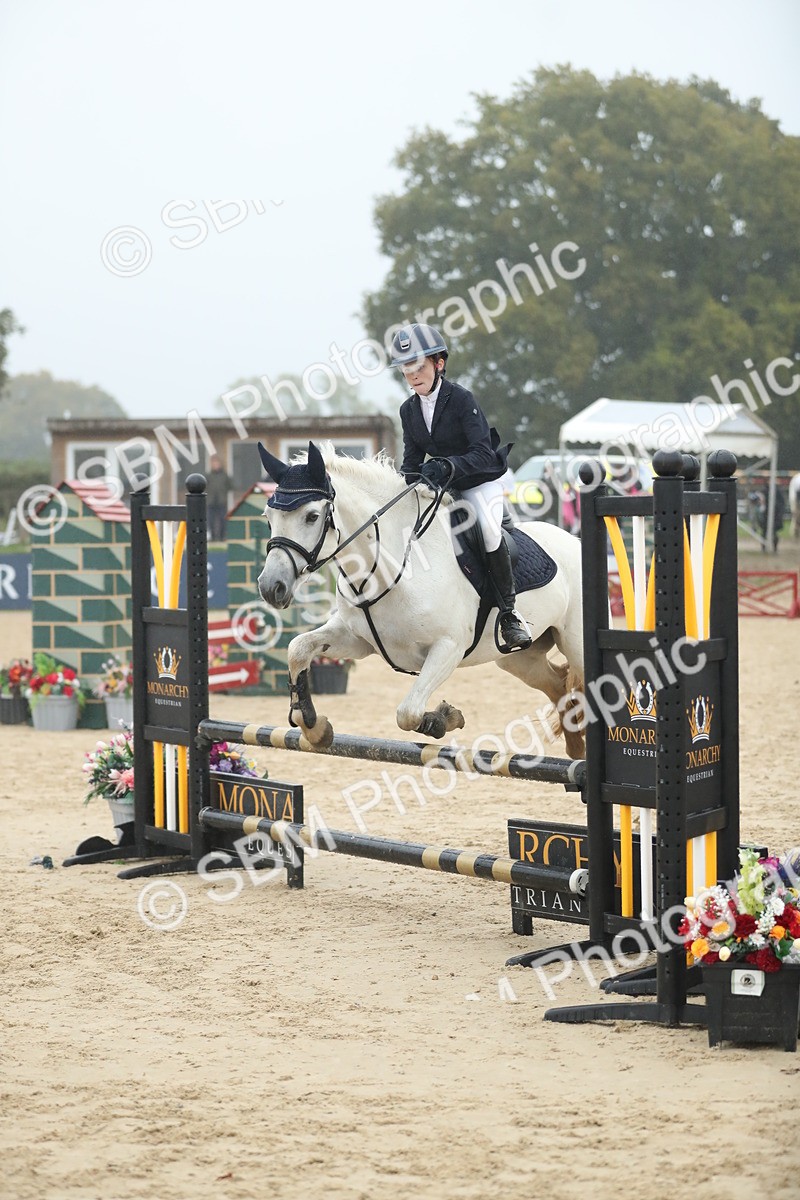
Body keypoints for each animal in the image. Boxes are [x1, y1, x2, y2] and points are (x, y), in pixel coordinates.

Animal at [256, 441, 585, 758]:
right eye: (268, 518)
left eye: (312, 516)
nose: (271, 587)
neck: (389, 566)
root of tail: (574, 540)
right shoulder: (356, 639)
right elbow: (298, 648)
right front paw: (314, 726)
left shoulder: (448, 647)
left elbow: (408, 713)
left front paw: (445, 718)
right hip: (517, 658)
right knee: (558, 685)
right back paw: (575, 745)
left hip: (574, 645)